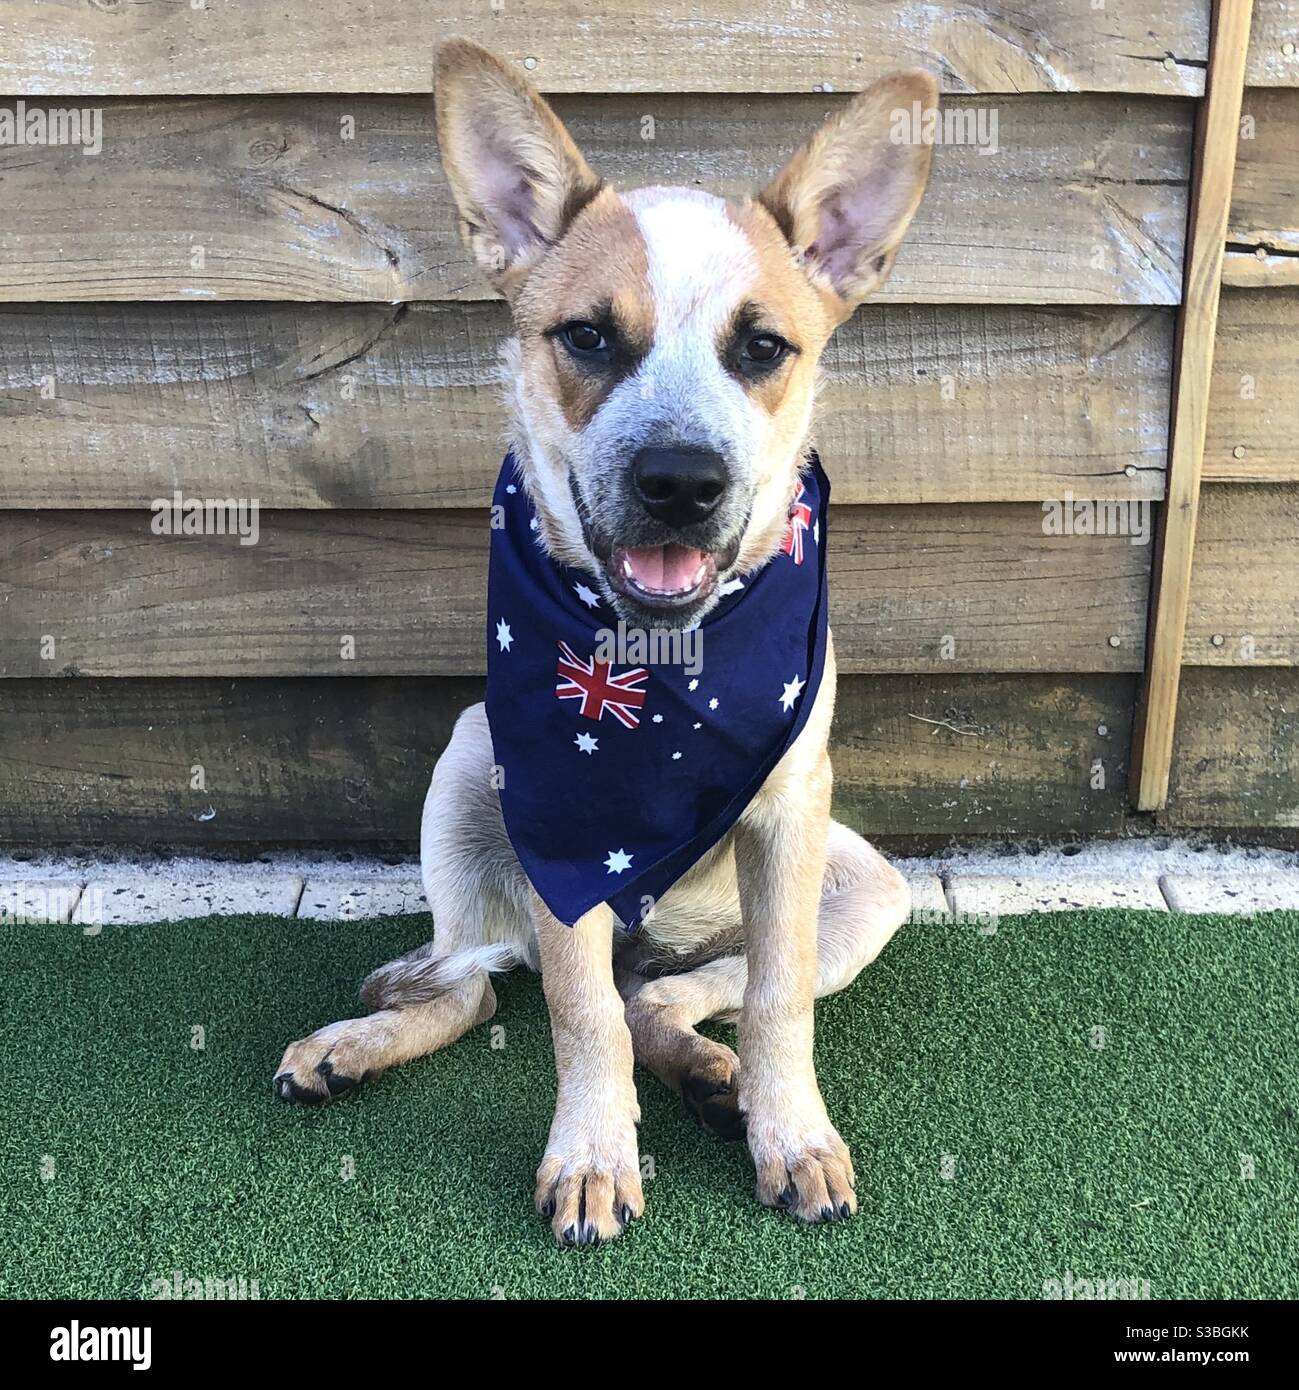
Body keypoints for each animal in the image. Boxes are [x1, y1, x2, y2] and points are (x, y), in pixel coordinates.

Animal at [279, 35, 939, 1251]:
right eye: (587, 335)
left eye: (762, 347)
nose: (681, 481)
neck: (665, 667)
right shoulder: (559, 824)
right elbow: (578, 1013)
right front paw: (591, 1156)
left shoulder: (791, 813)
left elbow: (773, 999)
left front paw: (791, 1134)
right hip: (467, 762)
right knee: (489, 984)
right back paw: (352, 1051)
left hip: (866, 889)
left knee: (667, 996)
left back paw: (715, 1078)